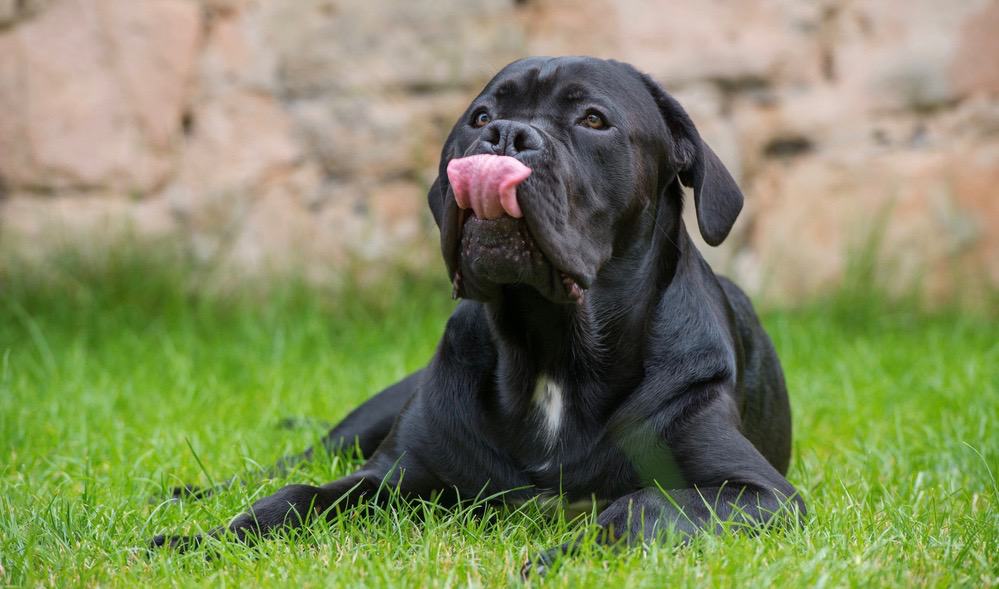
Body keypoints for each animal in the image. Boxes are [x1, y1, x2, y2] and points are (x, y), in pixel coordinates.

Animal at [154, 56, 804, 576]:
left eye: (594, 119)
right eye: (481, 115)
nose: (507, 134)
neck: (551, 349)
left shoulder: (758, 493)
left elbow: (643, 507)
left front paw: (559, 560)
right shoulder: (394, 474)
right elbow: (294, 496)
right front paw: (199, 541)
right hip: (370, 418)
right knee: (294, 460)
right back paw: (188, 495)